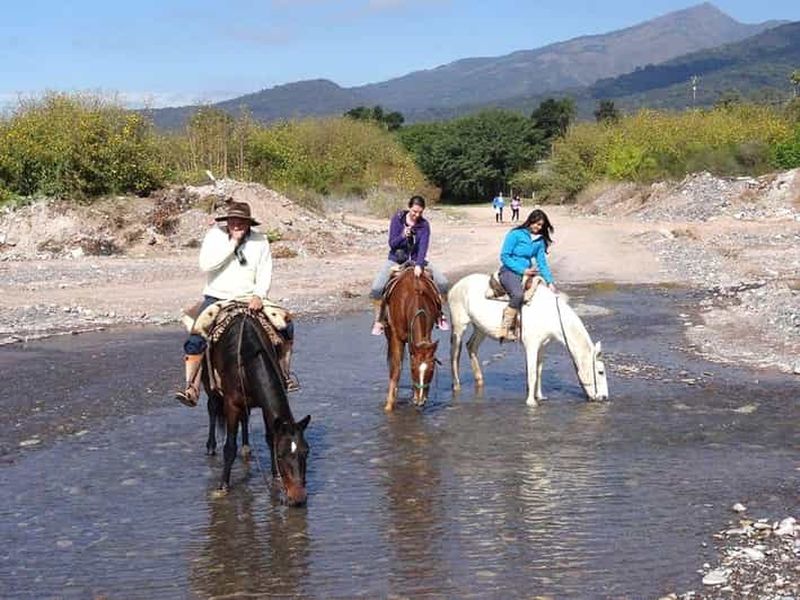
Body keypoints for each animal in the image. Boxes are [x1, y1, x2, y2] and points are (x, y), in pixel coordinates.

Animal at [203, 308, 310, 505]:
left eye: (306, 452)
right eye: (281, 455)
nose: (298, 498)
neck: (246, 360)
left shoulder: (263, 406)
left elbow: (270, 437)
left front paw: (275, 476)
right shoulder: (231, 404)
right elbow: (229, 447)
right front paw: (223, 486)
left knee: (244, 418)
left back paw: (246, 447)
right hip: (210, 386)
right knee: (212, 408)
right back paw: (211, 446)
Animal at [382, 267, 442, 411]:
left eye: (431, 370)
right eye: (413, 369)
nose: (421, 400)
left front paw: (415, 396)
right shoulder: (396, 337)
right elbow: (396, 369)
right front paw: (389, 405)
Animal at [448, 273, 609, 406]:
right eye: (601, 372)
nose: (604, 397)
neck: (550, 314)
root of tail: (455, 287)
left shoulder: (542, 346)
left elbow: (538, 371)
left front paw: (540, 396)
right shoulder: (531, 346)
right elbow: (532, 373)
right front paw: (531, 401)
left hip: (480, 329)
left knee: (471, 347)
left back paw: (479, 380)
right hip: (459, 326)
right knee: (455, 354)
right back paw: (456, 385)